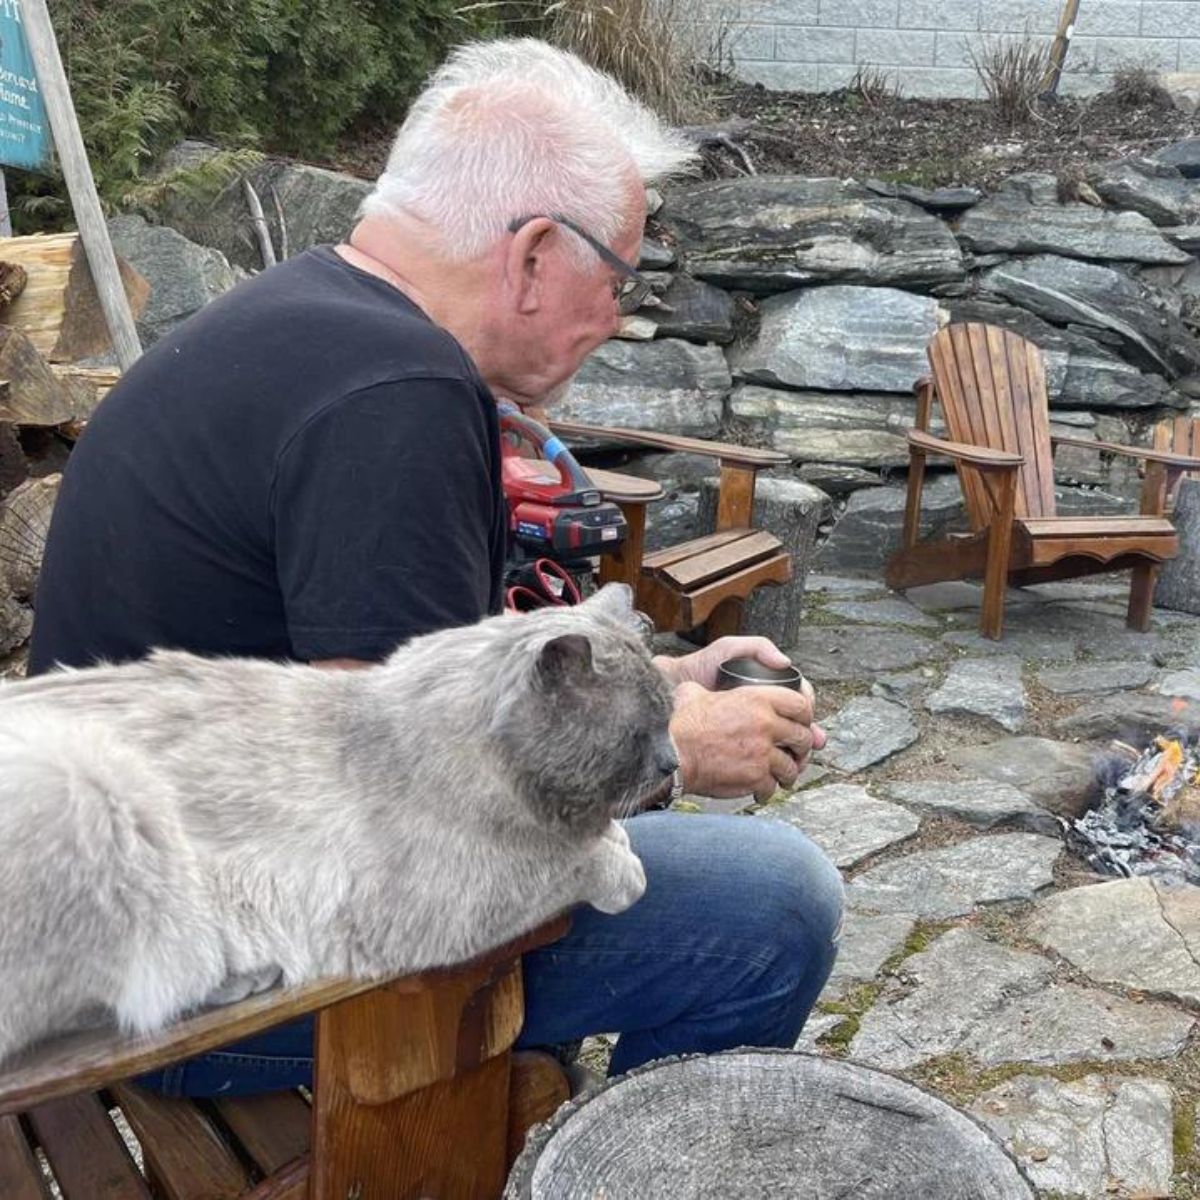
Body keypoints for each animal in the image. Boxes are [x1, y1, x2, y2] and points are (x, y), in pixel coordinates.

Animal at [0, 580, 676, 1060]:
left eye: (669, 718)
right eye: (641, 733)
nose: (673, 763)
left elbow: (599, 835)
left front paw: (616, 838)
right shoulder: (467, 901)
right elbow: (574, 863)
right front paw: (624, 870)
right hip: (86, 790)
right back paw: (239, 977)